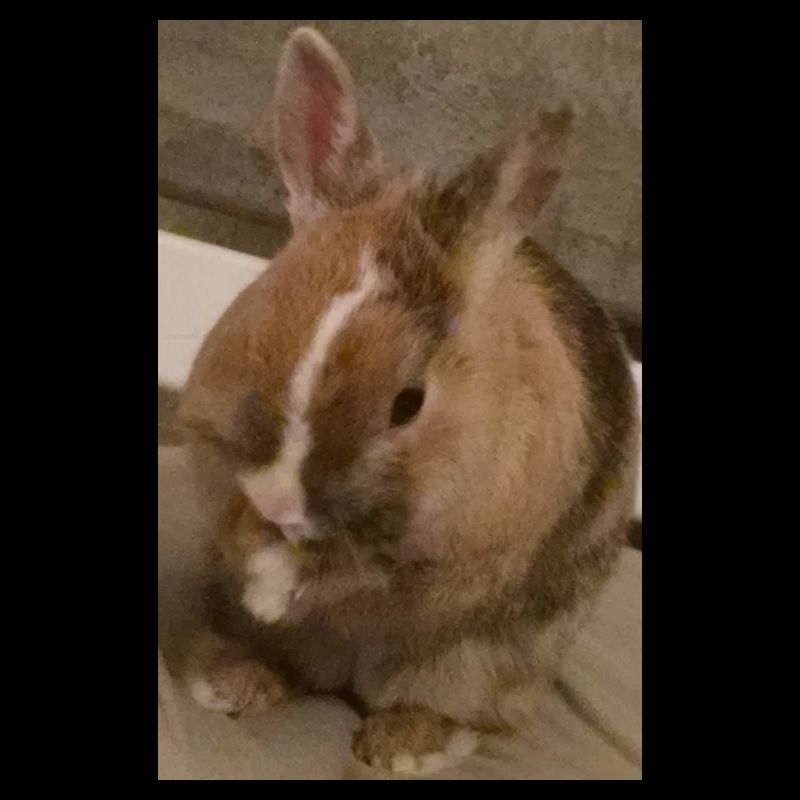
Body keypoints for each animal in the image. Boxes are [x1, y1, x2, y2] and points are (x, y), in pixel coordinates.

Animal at [176, 26, 640, 776]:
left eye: (409, 402)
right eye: (258, 316)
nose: (280, 501)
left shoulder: (451, 556)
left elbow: (361, 577)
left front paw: (277, 586)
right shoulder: (213, 458)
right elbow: (230, 519)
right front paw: (261, 568)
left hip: (481, 665)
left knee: (452, 705)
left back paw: (403, 746)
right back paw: (235, 678)